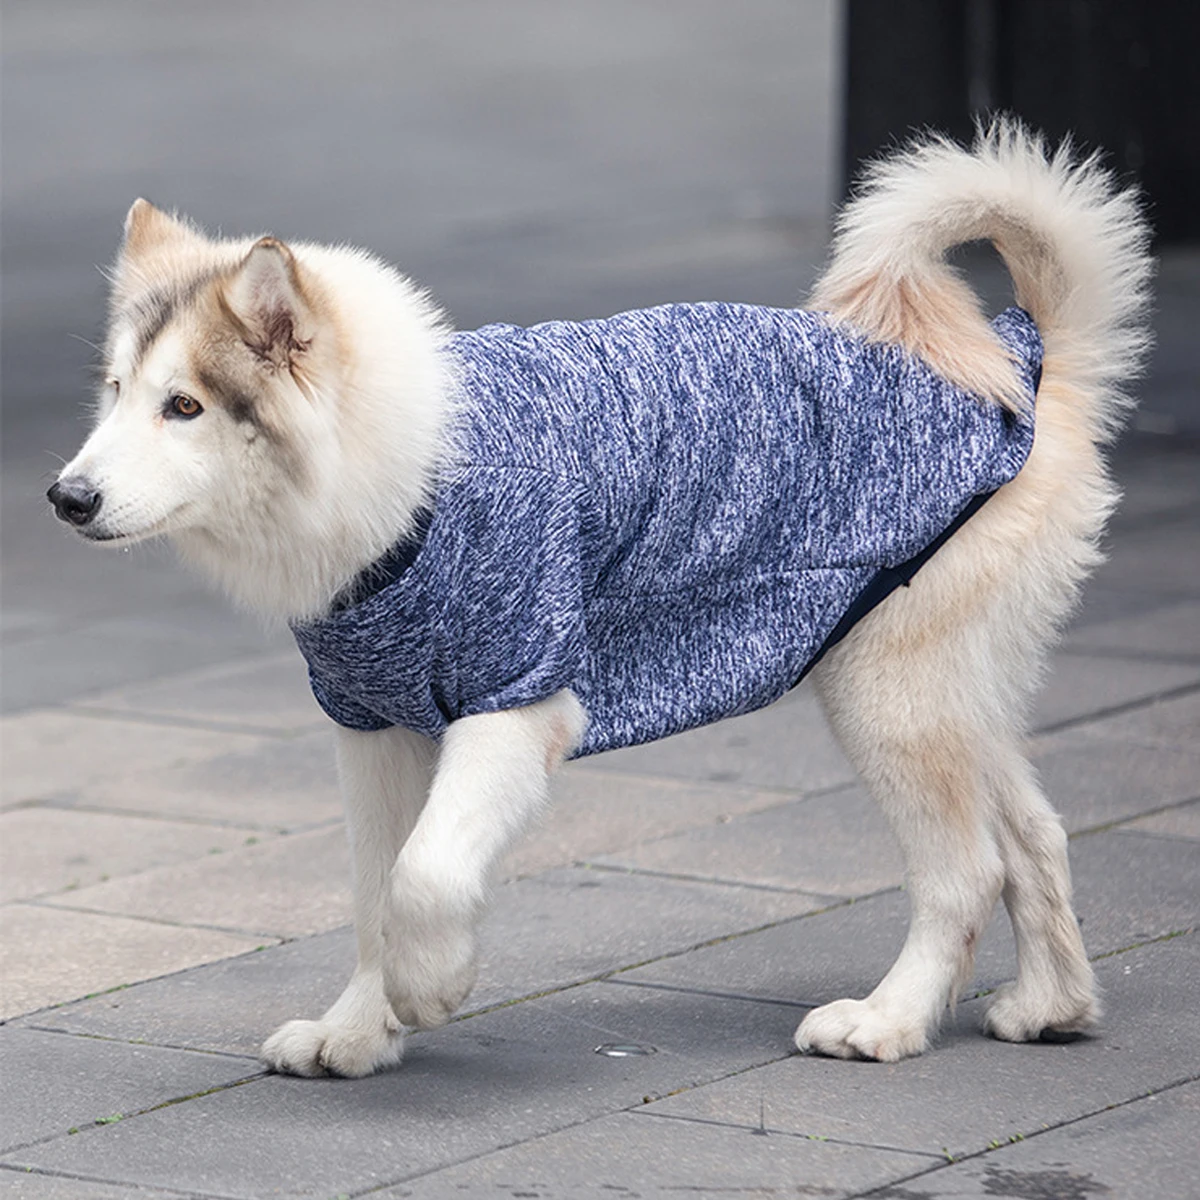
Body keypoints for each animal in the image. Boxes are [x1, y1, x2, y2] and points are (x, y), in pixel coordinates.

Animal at [49, 121, 1152, 1080]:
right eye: (115, 392)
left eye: (184, 406)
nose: (67, 499)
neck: (412, 482)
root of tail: (1030, 365)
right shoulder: (374, 728)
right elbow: (372, 889)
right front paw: (359, 1031)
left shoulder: (519, 697)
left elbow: (424, 876)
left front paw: (429, 987)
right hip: (949, 684)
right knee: (1032, 836)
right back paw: (1048, 1008)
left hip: (887, 690)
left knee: (966, 869)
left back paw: (887, 1022)